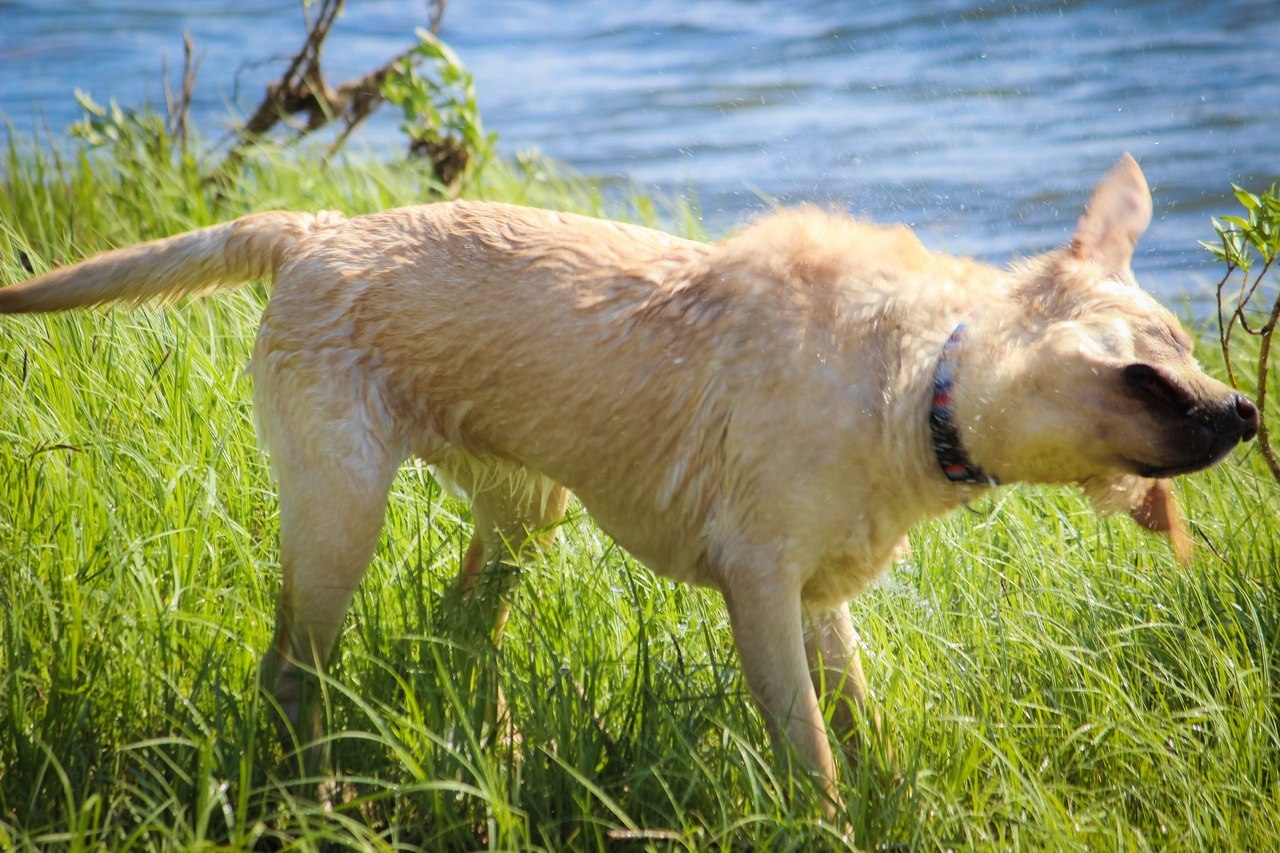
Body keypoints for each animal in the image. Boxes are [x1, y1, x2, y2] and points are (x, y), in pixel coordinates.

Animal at [0, 153, 1254, 809]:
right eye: (1145, 374)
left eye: (1187, 347)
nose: (1244, 412)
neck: (919, 380)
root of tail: (315, 231)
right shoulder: (760, 586)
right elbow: (809, 748)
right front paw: (832, 820)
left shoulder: (821, 598)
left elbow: (859, 715)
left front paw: (890, 790)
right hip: (337, 517)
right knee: (291, 672)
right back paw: (311, 792)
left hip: (522, 510)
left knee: (457, 629)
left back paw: (490, 752)